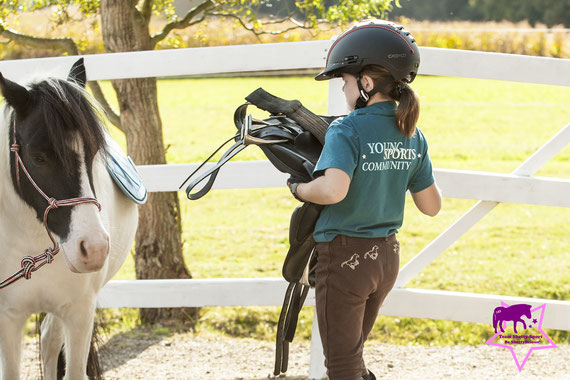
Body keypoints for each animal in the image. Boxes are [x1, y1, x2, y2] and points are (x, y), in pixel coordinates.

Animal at [0, 58, 138, 378]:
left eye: (94, 151)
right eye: (39, 157)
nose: (94, 248)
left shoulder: (79, 313)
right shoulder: (8, 318)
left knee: (50, 341)